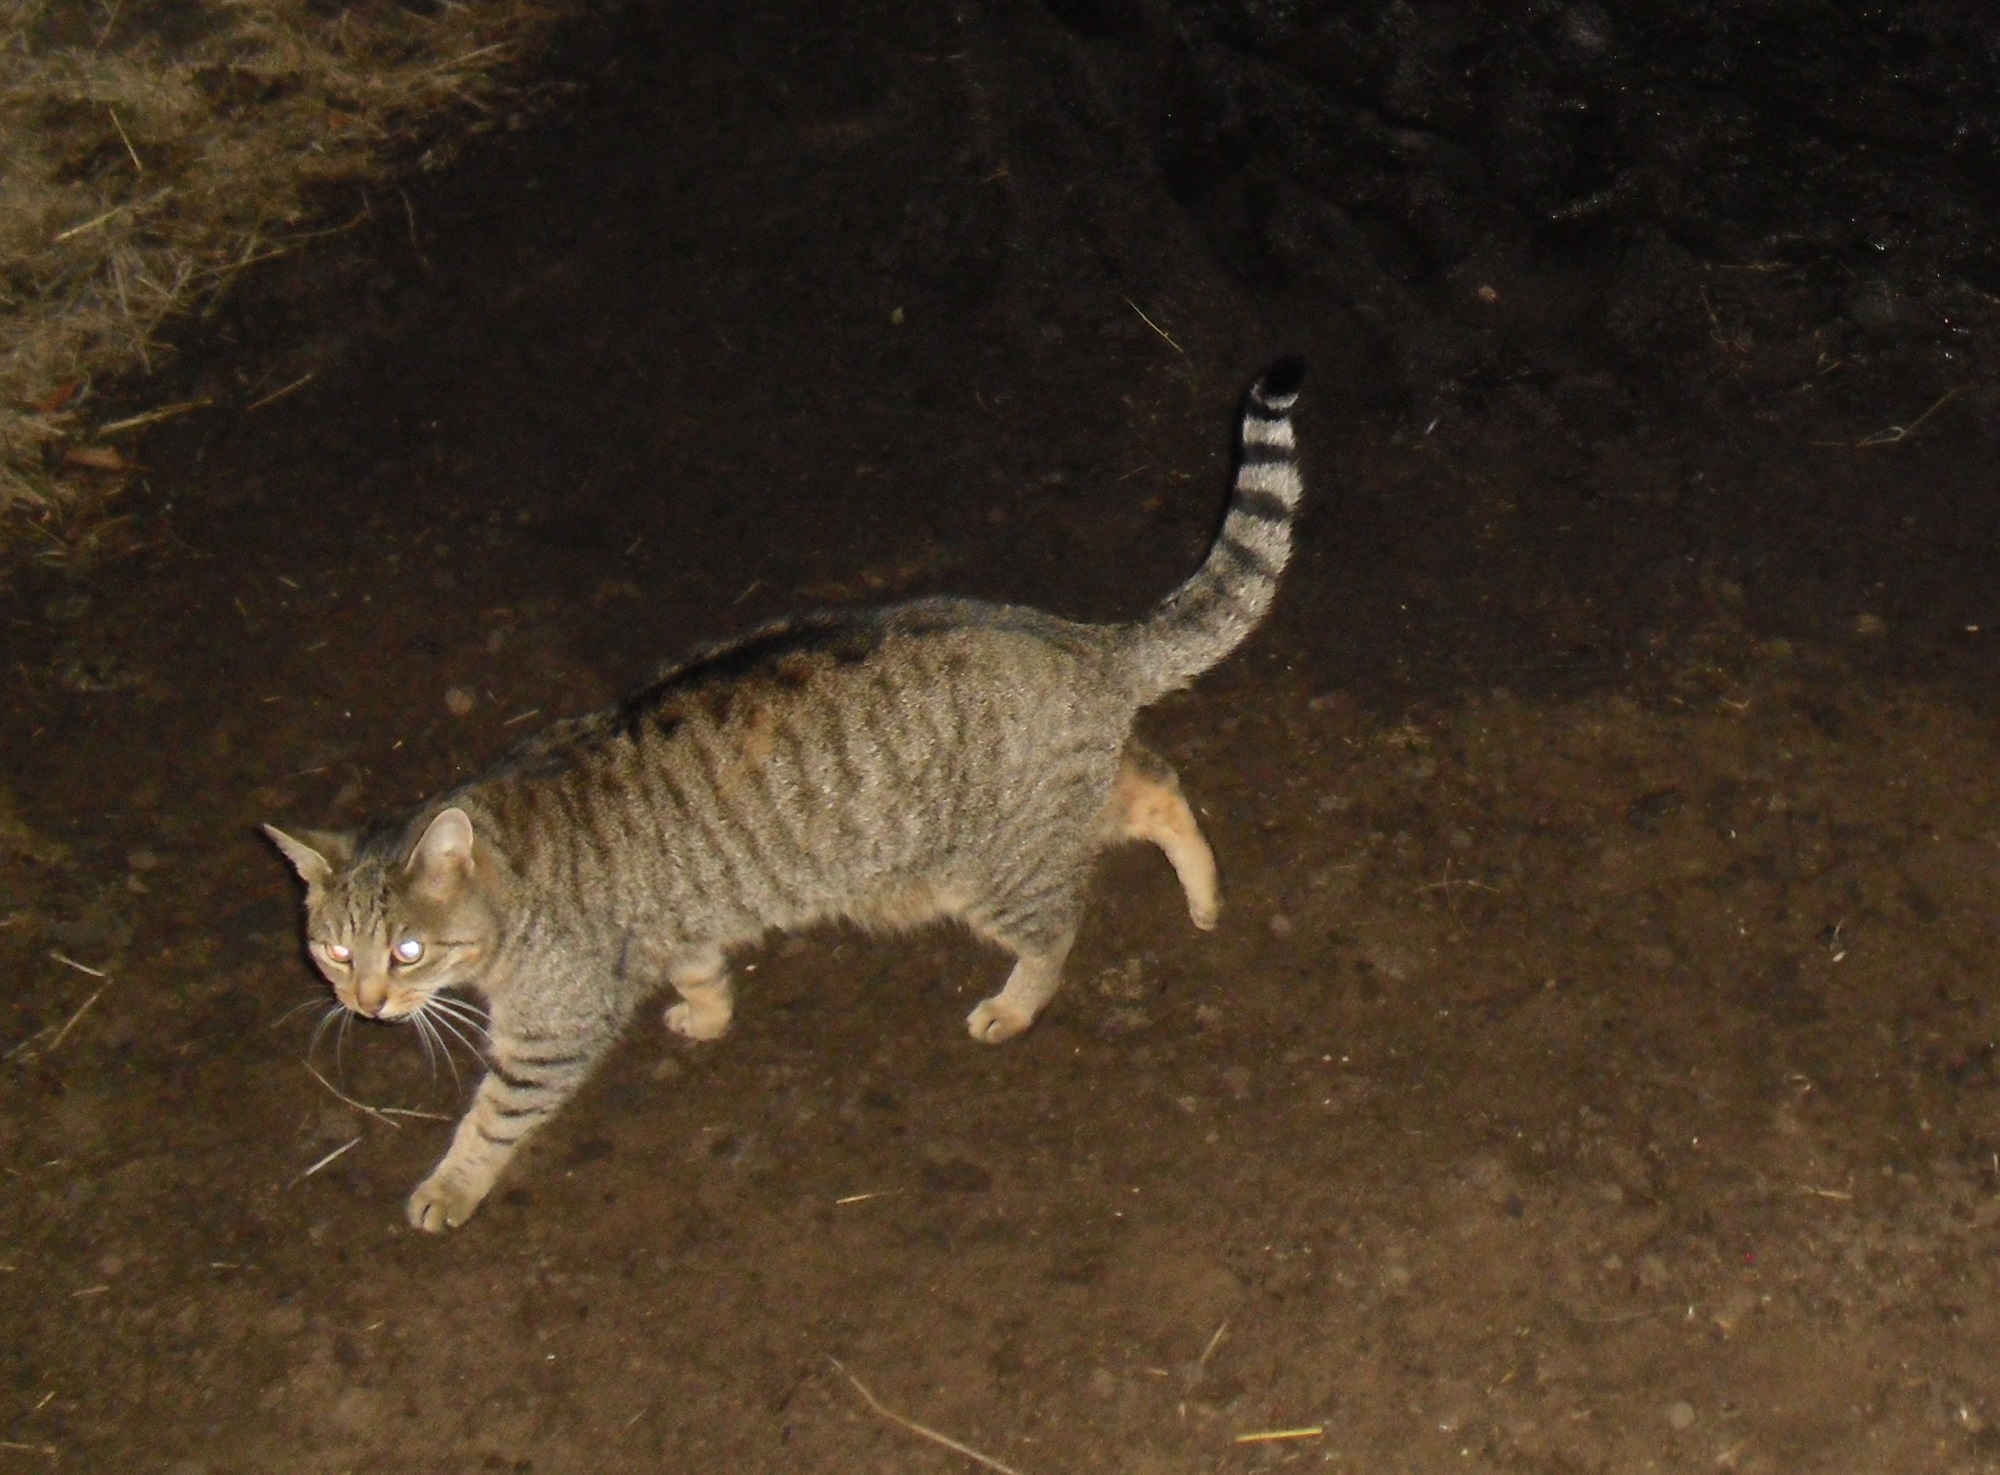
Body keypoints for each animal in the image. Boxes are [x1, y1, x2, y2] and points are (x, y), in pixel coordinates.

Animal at [265, 358, 1305, 1231]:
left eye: (405, 951)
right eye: (331, 951)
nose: (364, 1003)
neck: (512, 876)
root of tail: (1082, 639)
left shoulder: (552, 1029)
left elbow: (491, 1117)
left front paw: (450, 1186)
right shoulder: (678, 921)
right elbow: (701, 968)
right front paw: (708, 1014)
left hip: (988, 872)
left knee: (1056, 931)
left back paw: (1018, 1001)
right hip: (1054, 805)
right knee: (1157, 786)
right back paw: (1204, 889)